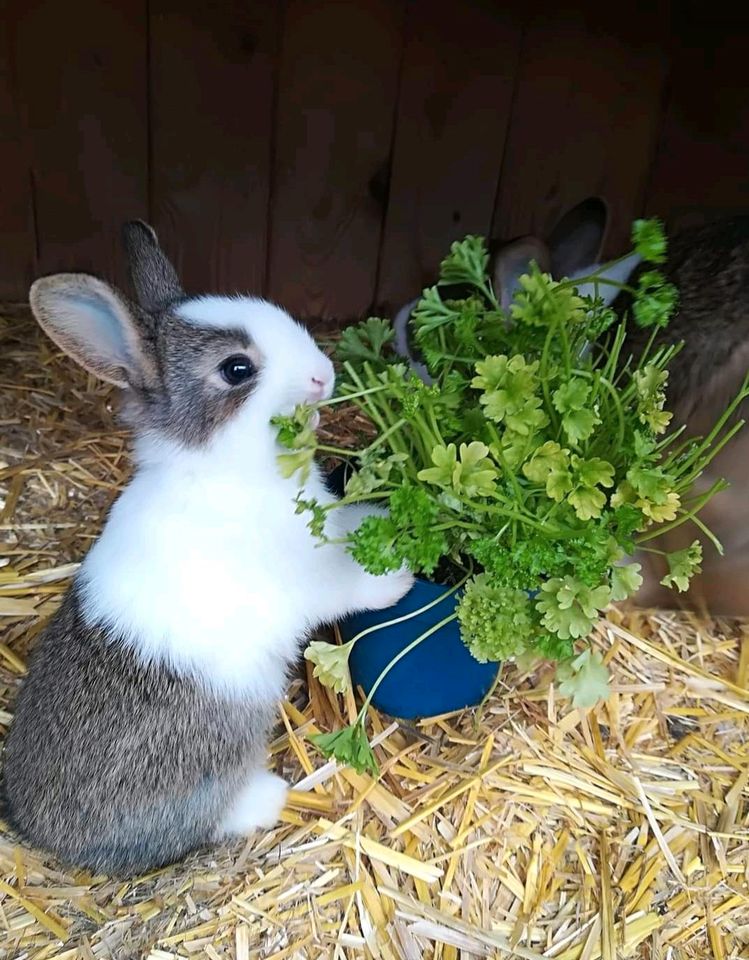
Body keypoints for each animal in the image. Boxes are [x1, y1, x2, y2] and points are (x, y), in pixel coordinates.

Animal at [0, 221, 412, 872]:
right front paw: (397, 578)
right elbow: (344, 585)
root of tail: (40, 835)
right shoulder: (302, 577)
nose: (322, 374)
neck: (226, 468)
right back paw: (267, 798)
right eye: (237, 369)